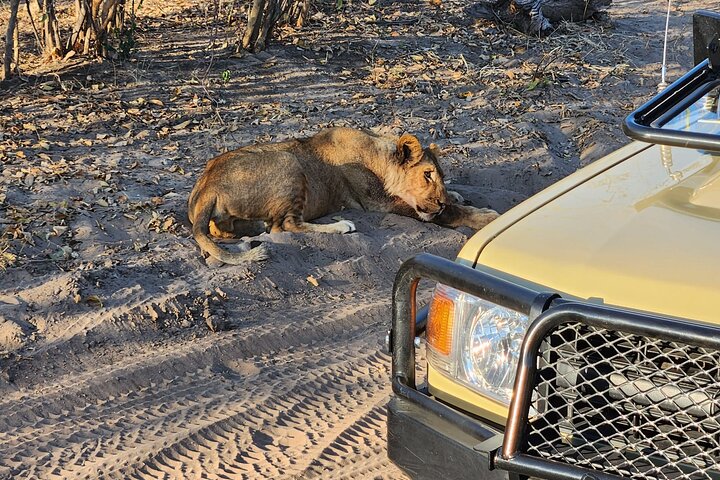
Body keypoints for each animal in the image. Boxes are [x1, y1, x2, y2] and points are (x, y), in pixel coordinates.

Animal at [188, 127, 499, 264]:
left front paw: (456, 195)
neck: (379, 156)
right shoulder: (380, 202)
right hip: (289, 162)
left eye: (440, 176)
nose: (440, 201)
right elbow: (450, 214)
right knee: (284, 225)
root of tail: (207, 186)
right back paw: (341, 225)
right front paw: (486, 217)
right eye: (427, 175)